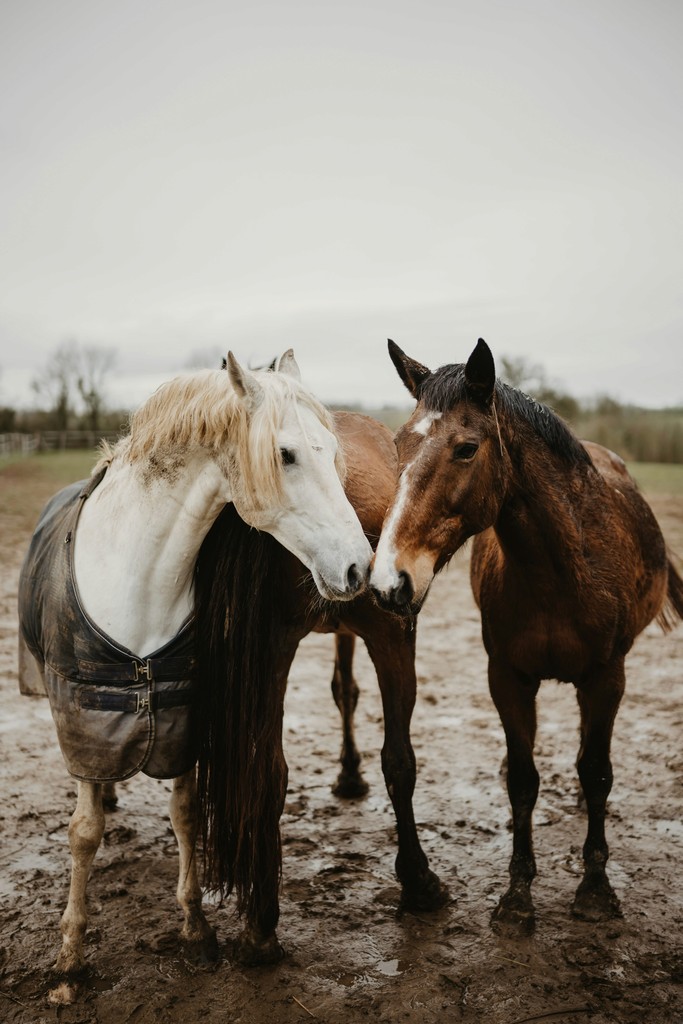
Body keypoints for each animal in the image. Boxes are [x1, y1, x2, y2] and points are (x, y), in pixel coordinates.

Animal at [18, 350, 373, 977]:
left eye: (332, 450)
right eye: (286, 454)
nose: (359, 566)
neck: (137, 583)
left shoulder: (181, 718)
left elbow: (184, 814)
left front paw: (195, 928)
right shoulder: (83, 725)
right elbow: (83, 834)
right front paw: (70, 959)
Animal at [192, 408, 448, 963]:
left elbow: (341, 691)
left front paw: (347, 773)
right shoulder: (389, 631)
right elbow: (385, 743)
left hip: (271, 650)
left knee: (268, 770)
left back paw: (261, 924)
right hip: (389, 636)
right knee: (398, 760)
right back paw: (418, 880)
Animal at [371, 337, 683, 934]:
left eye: (466, 449)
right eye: (398, 445)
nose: (388, 582)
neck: (560, 573)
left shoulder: (607, 676)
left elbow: (597, 772)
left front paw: (595, 888)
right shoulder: (508, 678)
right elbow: (523, 779)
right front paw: (517, 895)